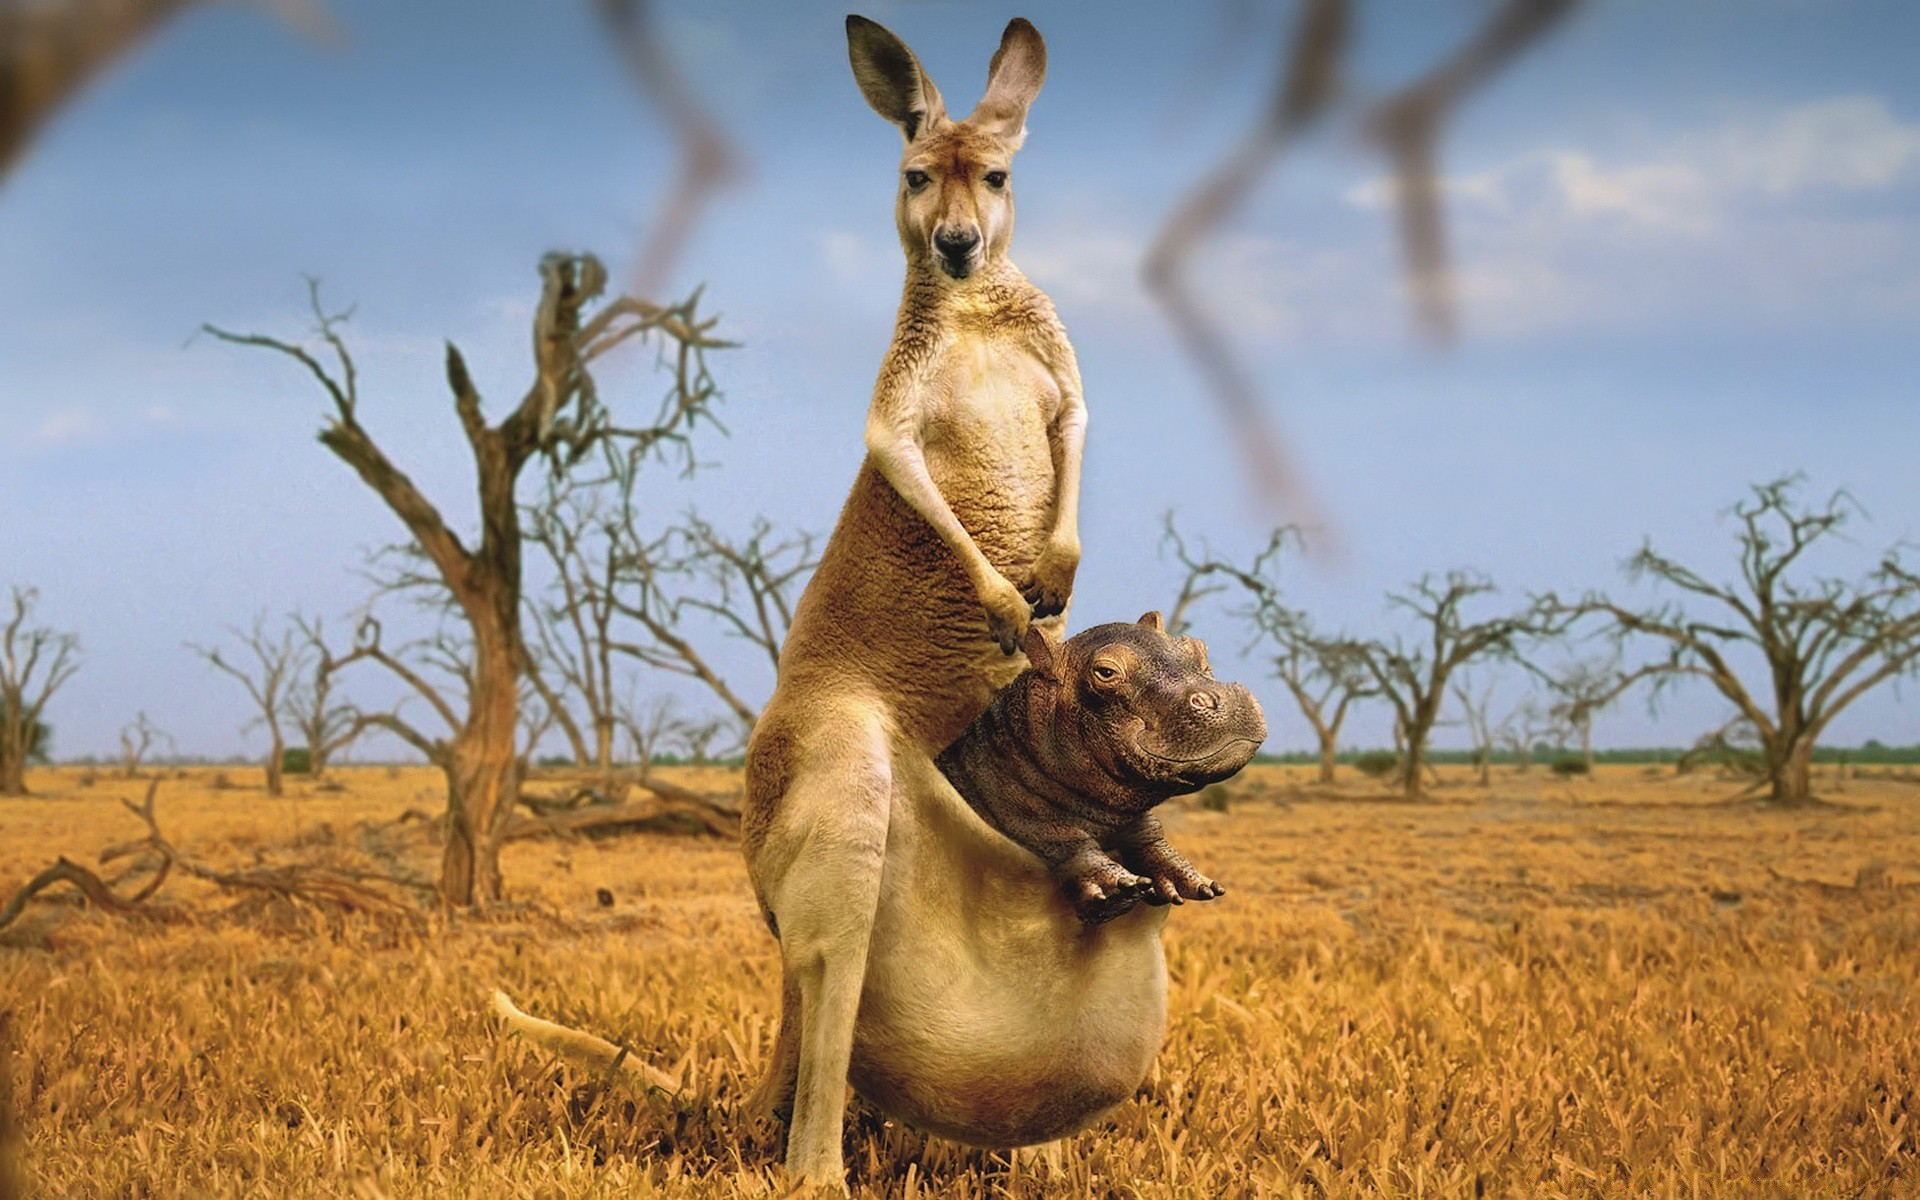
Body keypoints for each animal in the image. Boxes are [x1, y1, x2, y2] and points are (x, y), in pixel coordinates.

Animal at [936, 614, 1267, 921]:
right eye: (1106, 672)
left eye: (1199, 649)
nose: (1224, 697)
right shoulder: (1011, 802)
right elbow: (1060, 834)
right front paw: (1118, 890)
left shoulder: (1128, 815)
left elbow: (1149, 833)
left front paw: (1193, 882)